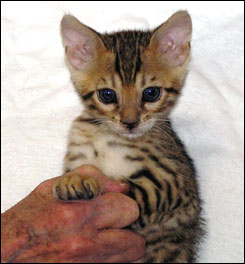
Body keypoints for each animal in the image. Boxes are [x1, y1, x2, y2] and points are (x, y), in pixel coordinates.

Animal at [54, 10, 205, 262]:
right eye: (107, 95)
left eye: (151, 93)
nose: (130, 122)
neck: (107, 134)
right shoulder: (79, 154)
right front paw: (73, 180)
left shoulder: (172, 181)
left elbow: (129, 190)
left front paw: (91, 183)